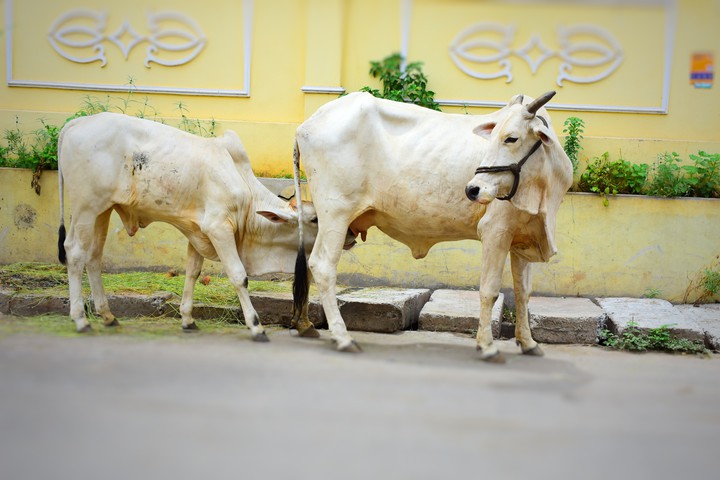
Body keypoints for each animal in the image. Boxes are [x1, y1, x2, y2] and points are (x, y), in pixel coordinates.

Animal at [57, 112, 322, 341]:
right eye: (314, 219)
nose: (338, 236)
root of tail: (75, 123)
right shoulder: (218, 228)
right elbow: (239, 276)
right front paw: (256, 326)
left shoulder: (198, 232)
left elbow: (193, 272)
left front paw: (187, 319)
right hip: (85, 207)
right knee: (75, 252)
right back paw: (81, 319)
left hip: (103, 210)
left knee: (94, 257)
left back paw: (108, 316)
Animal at [292, 91, 573, 362]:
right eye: (493, 137)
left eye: (512, 138)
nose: (473, 189)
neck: (543, 190)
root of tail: (306, 124)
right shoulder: (496, 232)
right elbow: (489, 291)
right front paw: (487, 345)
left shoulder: (521, 238)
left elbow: (523, 293)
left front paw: (528, 343)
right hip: (335, 213)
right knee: (323, 266)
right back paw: (342, 337)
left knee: (310, 265)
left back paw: (305, 325)